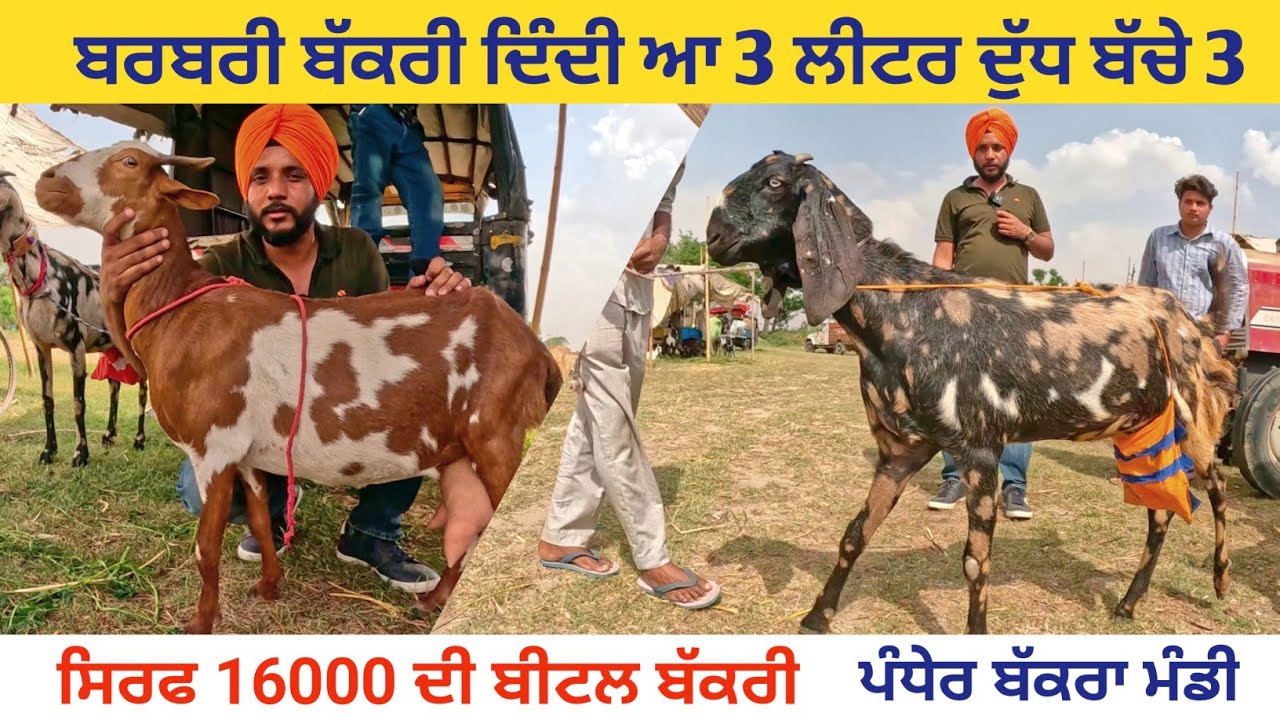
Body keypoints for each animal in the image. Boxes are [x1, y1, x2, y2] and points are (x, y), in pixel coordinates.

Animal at [1, 170, 148, 466]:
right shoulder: (41, 348)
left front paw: (80, 454)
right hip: (111, 348)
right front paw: (49, 450)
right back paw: (109, 435)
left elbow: (78, 403)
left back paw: (139, 439)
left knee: (142, 390)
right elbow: (47, 400)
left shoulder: (76, 347)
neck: (39, 276)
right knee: (114, 385)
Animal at [35, 142, 562, 633]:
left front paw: (200, 624)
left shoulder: (213, 445)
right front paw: (269, 586)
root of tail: (537, 351)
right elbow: (262, 521)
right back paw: (435, 599)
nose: (46, 181)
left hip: (497, 434)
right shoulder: (245, 453)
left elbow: (206, 546)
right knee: (473, 526)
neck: (180, 308)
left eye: (128, 162)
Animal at [705, 151, 1239, 634]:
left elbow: (974, 560)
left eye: (776, 183)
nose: (713, 237)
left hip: (1194, 420)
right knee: (1162, 511)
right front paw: (818, 616)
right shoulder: (900, 450)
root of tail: (1191, 320)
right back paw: (1128, 604)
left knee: (1215, 487)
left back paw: (1220, 580)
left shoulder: (982, 448)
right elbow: (854, 535)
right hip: (1138, 432)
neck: (905, 317)